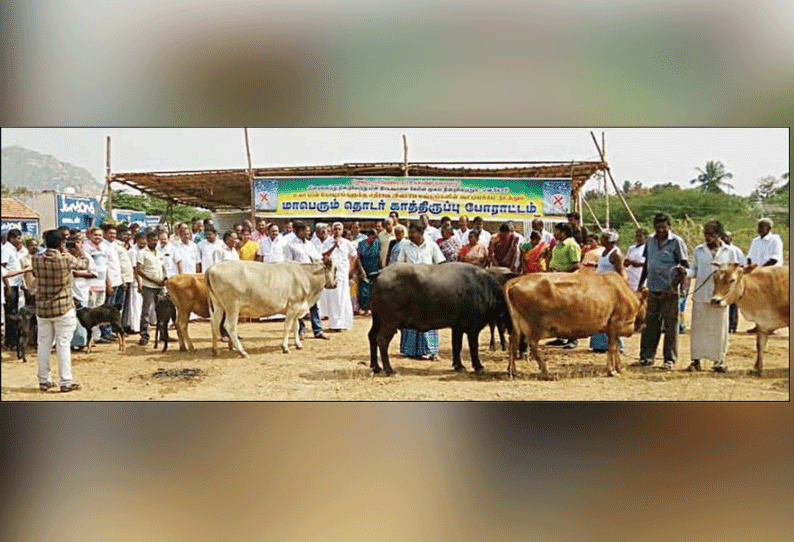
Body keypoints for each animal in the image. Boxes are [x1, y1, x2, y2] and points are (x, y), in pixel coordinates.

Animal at [366, 264, 512, 378]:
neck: (487, 288)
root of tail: (380, 273)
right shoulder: (472, 329)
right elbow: (473, 347)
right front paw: (478, 366)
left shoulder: (457, 327)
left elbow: (457, 346)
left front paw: (459, 366)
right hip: (389, 323)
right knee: (382, 340)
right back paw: (389, 370)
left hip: (377, 320)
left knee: (372, 336)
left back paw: (376, 367)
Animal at [504, 274, 648, 380]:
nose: (644, 325)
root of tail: (518, 279)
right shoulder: (615, 324)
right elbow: (612, 348)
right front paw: (612, 371)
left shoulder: (612, 329)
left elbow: (616, 348)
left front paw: (619, 368)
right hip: (535, 325)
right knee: (532, 344)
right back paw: (546, 371)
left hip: (518, 324)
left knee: (513, 340)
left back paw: (512, 370)